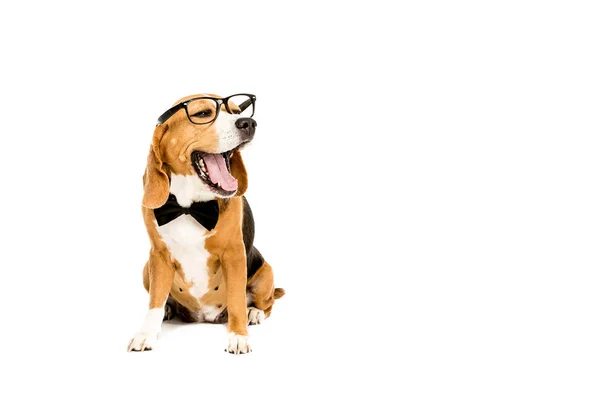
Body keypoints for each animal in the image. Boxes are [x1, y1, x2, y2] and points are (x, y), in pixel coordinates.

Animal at [126, 94, 284, 354]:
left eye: (235, 111)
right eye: (202, 114)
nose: (248, 123)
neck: (189, 205)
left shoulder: (234, 254)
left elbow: (237, 301)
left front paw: (238, 336)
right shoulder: (158, 255)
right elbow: (155, 302)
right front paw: (147, 333)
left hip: (266, 273)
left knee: (266, 302)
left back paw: (254, 313)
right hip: (145, 268)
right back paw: (169, 309)